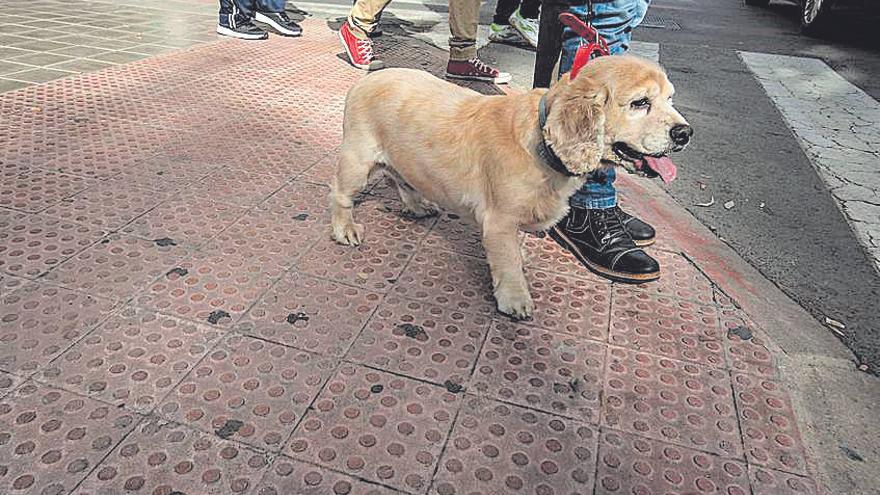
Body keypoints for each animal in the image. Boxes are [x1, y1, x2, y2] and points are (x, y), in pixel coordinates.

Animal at [328, 56, 688, 320]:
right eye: (640, 103)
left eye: (670, 99)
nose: (686, 133)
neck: (542, 141)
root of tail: (368, 78)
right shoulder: (499, 220)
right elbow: (509, 262)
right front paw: (515, 298)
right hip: (357, 161)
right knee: (340, 194)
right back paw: (345, 229)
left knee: (401, 179)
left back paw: (417, 206)